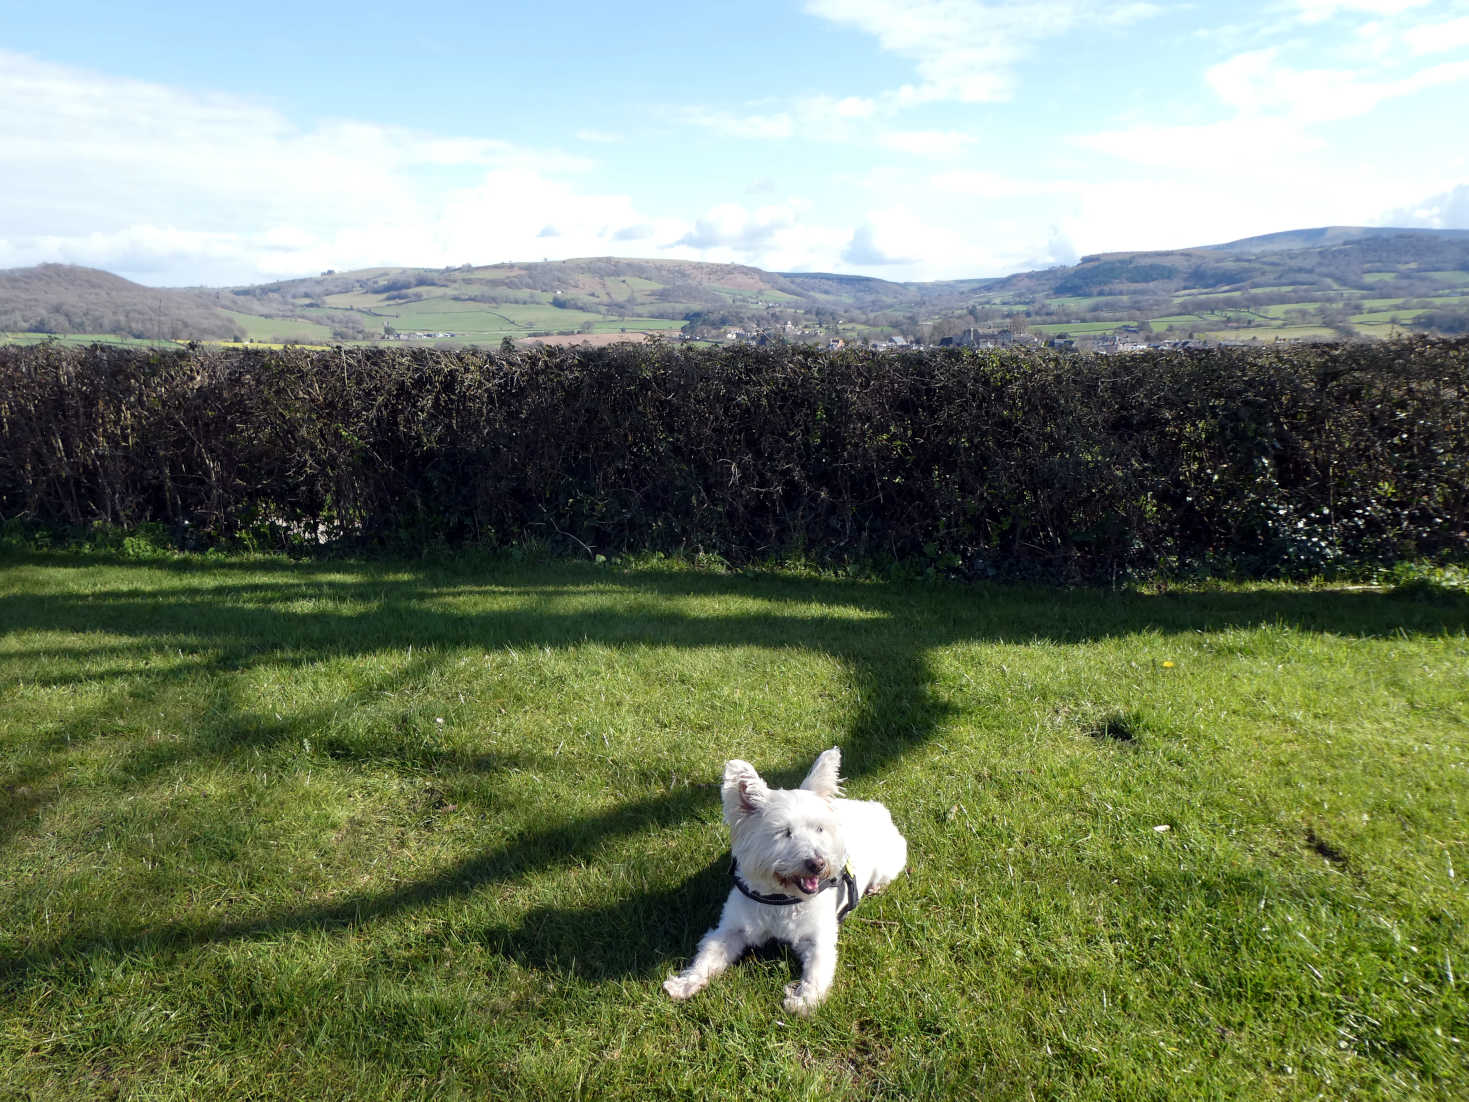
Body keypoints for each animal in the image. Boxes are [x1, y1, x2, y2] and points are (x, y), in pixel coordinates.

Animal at [666, 752, 904, 1016]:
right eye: (784, 832)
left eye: (819, 828)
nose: (818, 863)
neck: (779, 898)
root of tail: (875, 807)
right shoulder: (731, 928)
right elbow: (708, 955)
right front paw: (686, 983)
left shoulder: (818, 938)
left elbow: (817, 970)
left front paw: (803, 1001)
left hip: (888, 864)